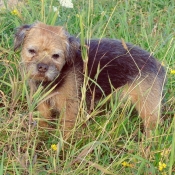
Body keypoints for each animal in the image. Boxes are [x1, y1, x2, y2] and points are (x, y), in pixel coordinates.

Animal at [14, 21, 165, 138]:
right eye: (32, 51)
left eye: (56, 56)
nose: (42, 67)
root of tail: (158, 65)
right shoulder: (42, 103)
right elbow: (44, 121)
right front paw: (42, 135)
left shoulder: (70, 108)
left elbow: (66, 130)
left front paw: (63, 146)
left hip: (148, 107)